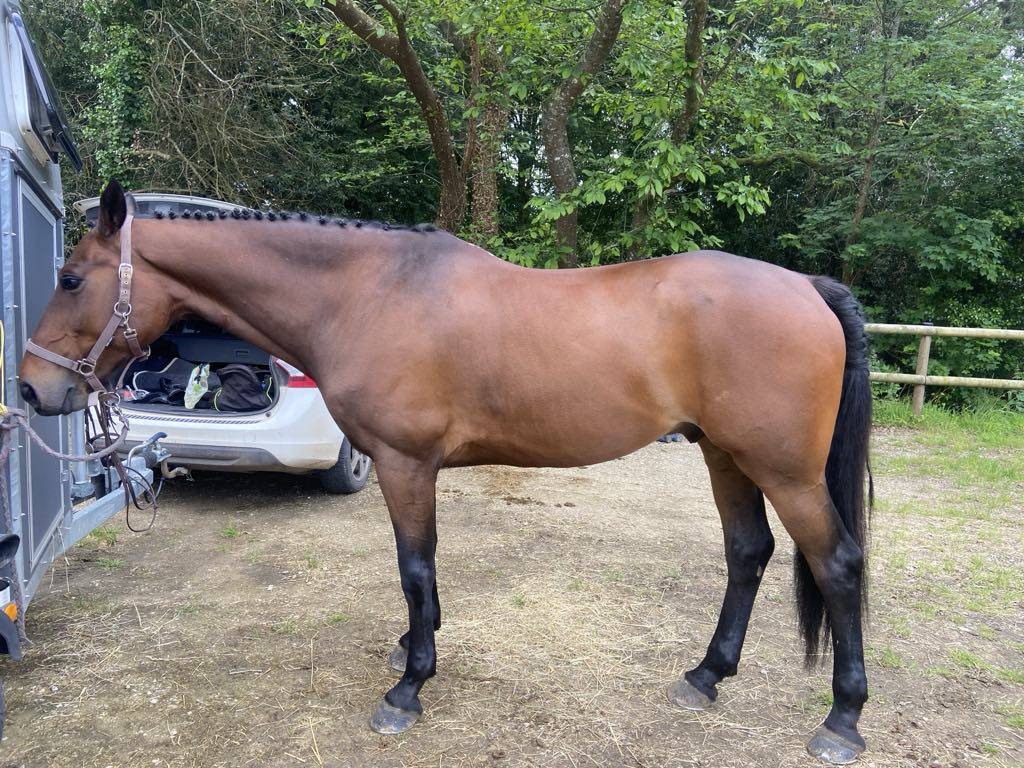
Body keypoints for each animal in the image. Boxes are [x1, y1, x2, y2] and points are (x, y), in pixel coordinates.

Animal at [19, 180, 872, 764]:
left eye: (70, 278)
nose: (31, 389)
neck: (366, 294)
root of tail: (807, 287)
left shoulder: (406, 466)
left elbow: (415, 567)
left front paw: (408, 687)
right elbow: (417, 574)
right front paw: (409, 649)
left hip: (785, 470)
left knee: (836, 564)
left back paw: (841, 719)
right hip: (725, 454)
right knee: (748, 554)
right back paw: (705, 676)